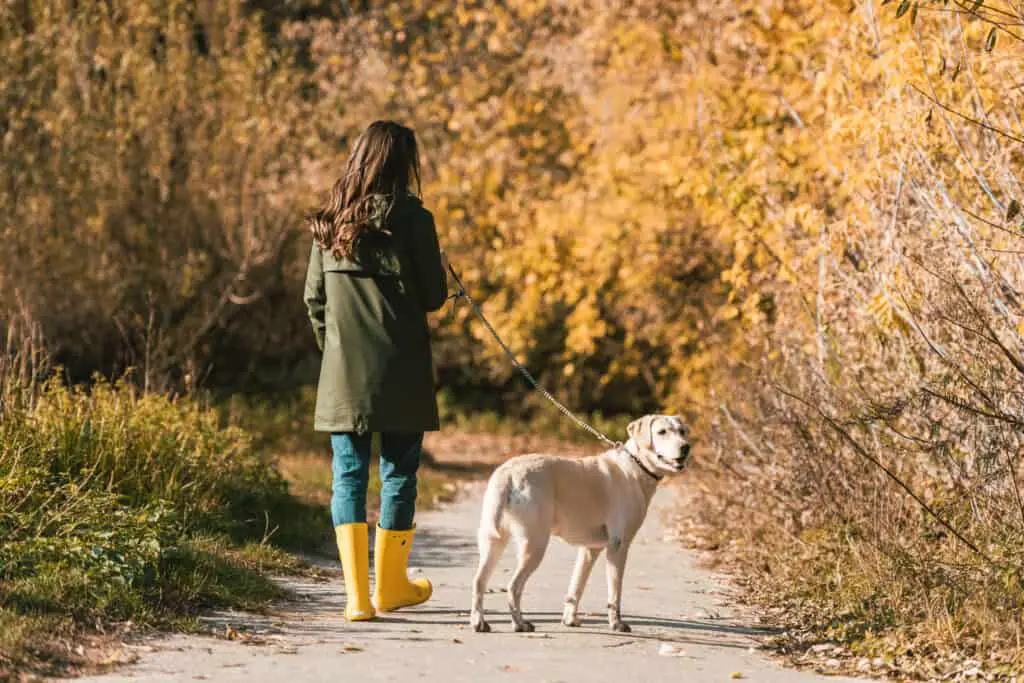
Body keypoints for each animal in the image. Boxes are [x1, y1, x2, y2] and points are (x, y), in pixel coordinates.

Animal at [468, 417, 692, 634]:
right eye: (662, 432)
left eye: (682, 431)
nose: (686, 447)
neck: (636, 465)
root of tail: (508, 473)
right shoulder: (618, 546)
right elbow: (615, 592)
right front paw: (617, 623)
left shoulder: (589, 549)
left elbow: (577, 586)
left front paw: (570, 620)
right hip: (534, 544)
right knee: (513, 586)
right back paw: (519, 624)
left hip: (493, 542)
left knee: (479, 581)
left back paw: (479, 622)